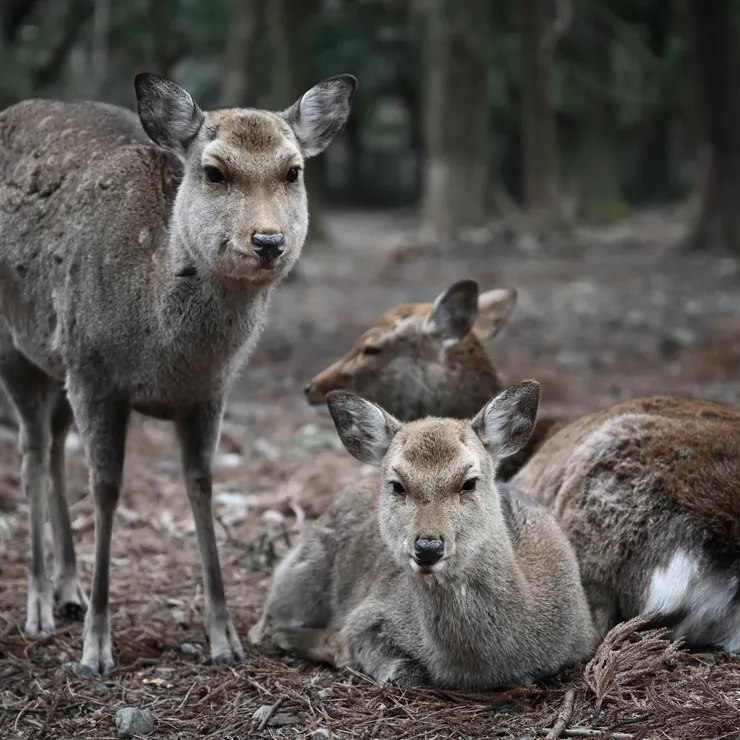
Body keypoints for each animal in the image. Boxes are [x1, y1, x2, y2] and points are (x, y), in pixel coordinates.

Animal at [0, 72, 356, 672]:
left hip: (56, 363)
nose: (268, 241)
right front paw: (96, 649)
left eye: (293, 171)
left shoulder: (209, 392)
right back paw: (40, 609)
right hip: (17, 349)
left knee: (52, 448)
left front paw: (226, 639)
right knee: (30, 454)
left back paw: (68, 592)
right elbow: (107, 489)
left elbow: (202, 484)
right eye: (213, 171)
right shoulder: (94, 372)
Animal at [251, 384, 600, 692]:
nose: (428, 547)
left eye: (469, 482)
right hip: (300, 575)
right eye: (397, 485)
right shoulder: (369, 613)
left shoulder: (585, 641)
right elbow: (396, 668)